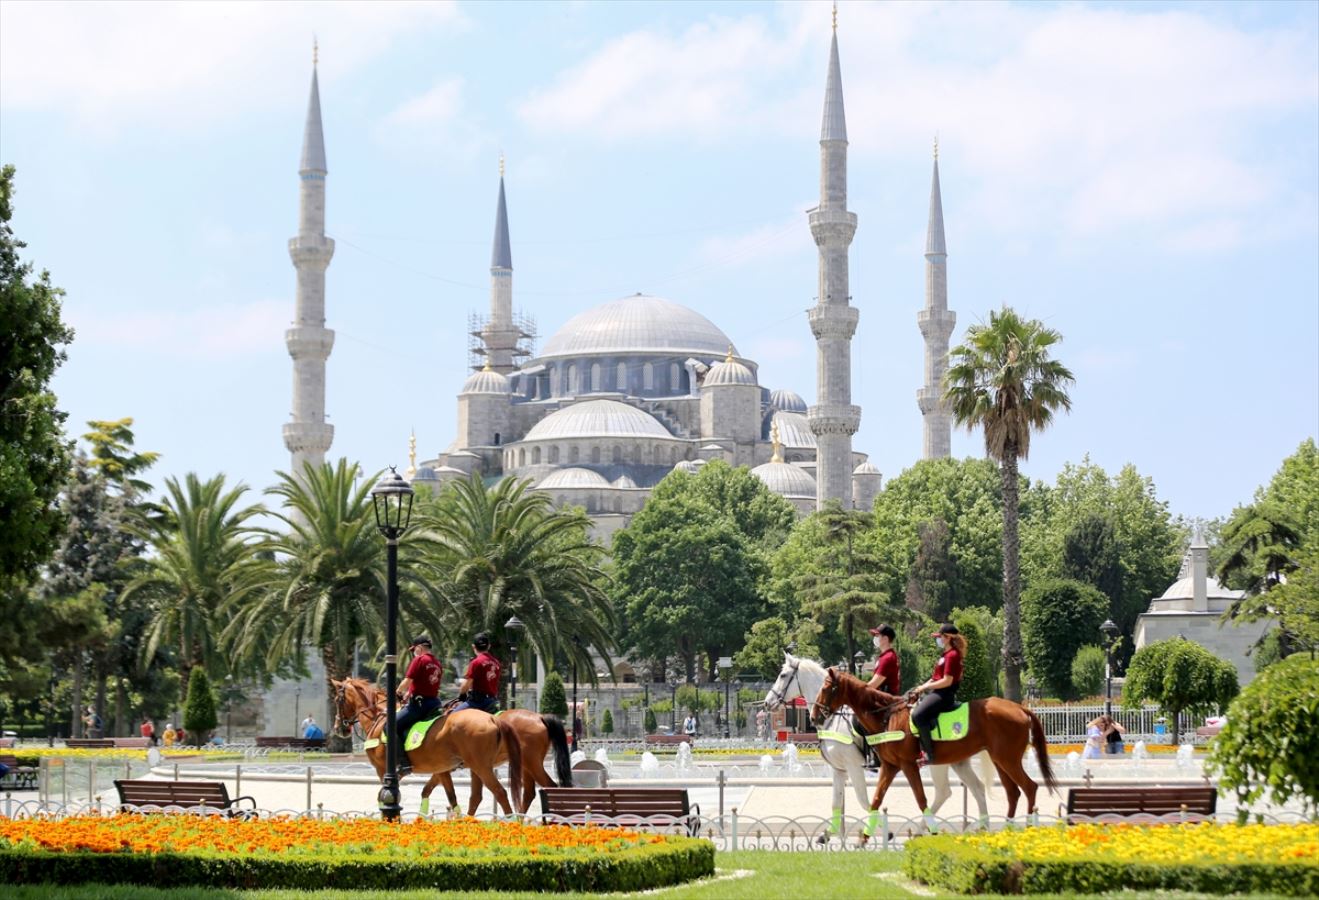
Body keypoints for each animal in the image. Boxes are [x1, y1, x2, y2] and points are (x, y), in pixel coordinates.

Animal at [332, 673, 522, 812]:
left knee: (500, 792)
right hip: (478, 767)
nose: (338, 728)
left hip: (481, 766)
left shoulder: (383, 770)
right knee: (480, 796)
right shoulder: (441, 770)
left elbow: (385, 796)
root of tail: (492, 718)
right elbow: (443, 796)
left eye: (336, 700)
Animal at [765, 651, 991, 834]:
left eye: (782, 675)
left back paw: (925, 827)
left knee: (945, 791)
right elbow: (836, 803)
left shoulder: (854, 766)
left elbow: (864, 801)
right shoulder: (839, 769)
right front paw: (827, 835)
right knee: (976, 789)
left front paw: (884, 831)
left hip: (938, 764)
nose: (768, 702)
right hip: (958, 761)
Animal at [807, 665, 1055, 834]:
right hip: (996, 760)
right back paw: (1002, 829)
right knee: (1008, 791)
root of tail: (1021, 708)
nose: (814, 716)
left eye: (827, 688)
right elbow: (868, 799)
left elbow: (914, 798)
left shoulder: (898, 765)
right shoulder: (876, 767)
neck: (887, 716)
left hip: (1006, 760)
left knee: (1029, 787)